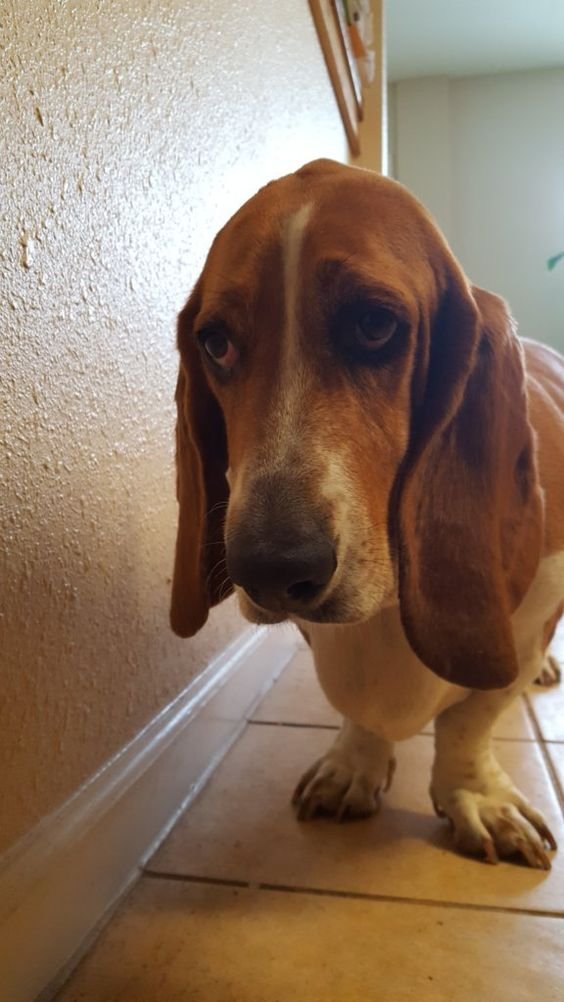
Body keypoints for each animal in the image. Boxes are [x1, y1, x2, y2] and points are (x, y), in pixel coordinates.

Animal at [170, 158, 560, 869]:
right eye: (216, 343)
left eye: (375, 325)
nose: (268, 569)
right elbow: (356, 709)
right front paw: (354, 765)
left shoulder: (526, 622)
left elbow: (472, 718)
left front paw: (476, 797)